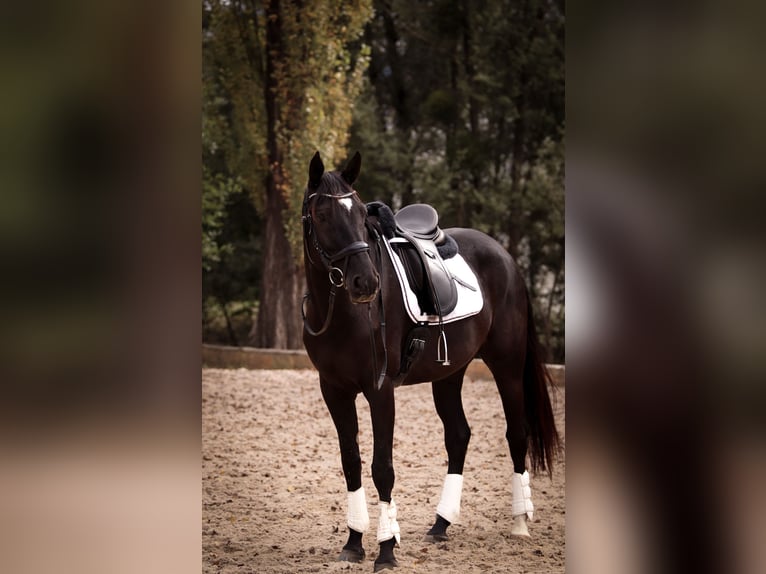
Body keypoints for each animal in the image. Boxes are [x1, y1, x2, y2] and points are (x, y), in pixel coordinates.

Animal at [301, 151, 560, 571]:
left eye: (360, 214)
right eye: (322, 215)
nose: (366, 283)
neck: (343, 312)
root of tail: (505, 256)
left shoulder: (380, 390)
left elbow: (382, 467)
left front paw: (386, 549)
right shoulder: (334, 390)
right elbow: (351, 461)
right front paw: (354, 542)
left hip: (507, 366)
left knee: (516, 433)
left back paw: (520, 521)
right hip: (449, 373)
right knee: (458, 436)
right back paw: (441, 524)